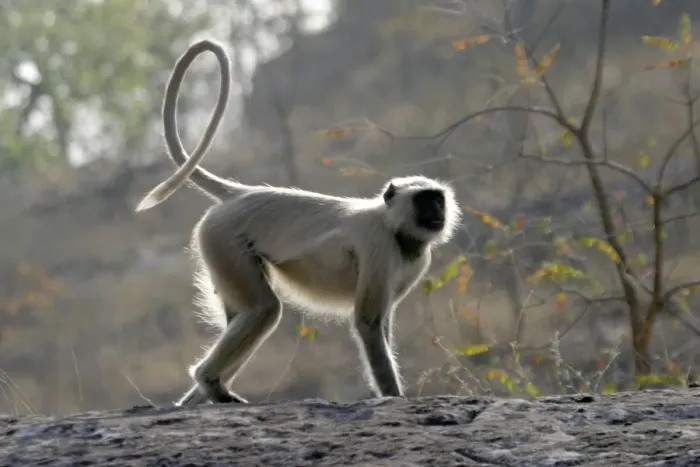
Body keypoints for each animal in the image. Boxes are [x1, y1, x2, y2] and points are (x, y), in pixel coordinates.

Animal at [135, 39, 462, 407]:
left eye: (437, 199)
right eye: (424, 200)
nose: (437, 213)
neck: (394, 227)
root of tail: (240, 193)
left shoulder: (416, 260)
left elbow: (383, 322)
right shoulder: (378, 245)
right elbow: (368, 323)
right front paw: (392, 396)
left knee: (242, 314)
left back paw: (198, 397)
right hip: (224, 238)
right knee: (263, 309)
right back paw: (209, 383)